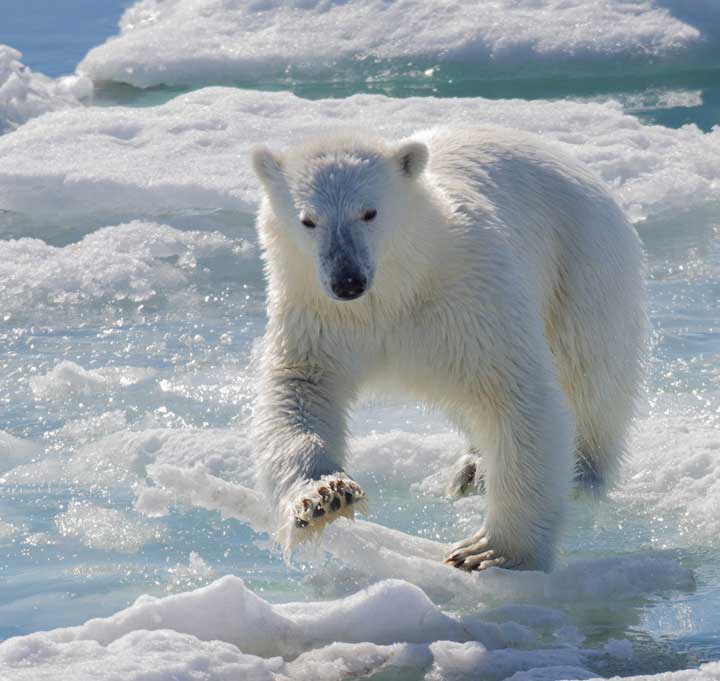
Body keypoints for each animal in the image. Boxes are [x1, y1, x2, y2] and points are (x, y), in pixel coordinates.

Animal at [250, 126, 646, 572]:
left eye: (369, 212)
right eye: (308, 220)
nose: (347, 280)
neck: (395, 292)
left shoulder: (468, 295)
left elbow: (516, 392)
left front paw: (491, 551)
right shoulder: (318, 316)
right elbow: (299, 394)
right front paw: (325, 497)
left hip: (582, 260)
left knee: (591, 371)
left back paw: (585, 472)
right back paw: (474, 467)